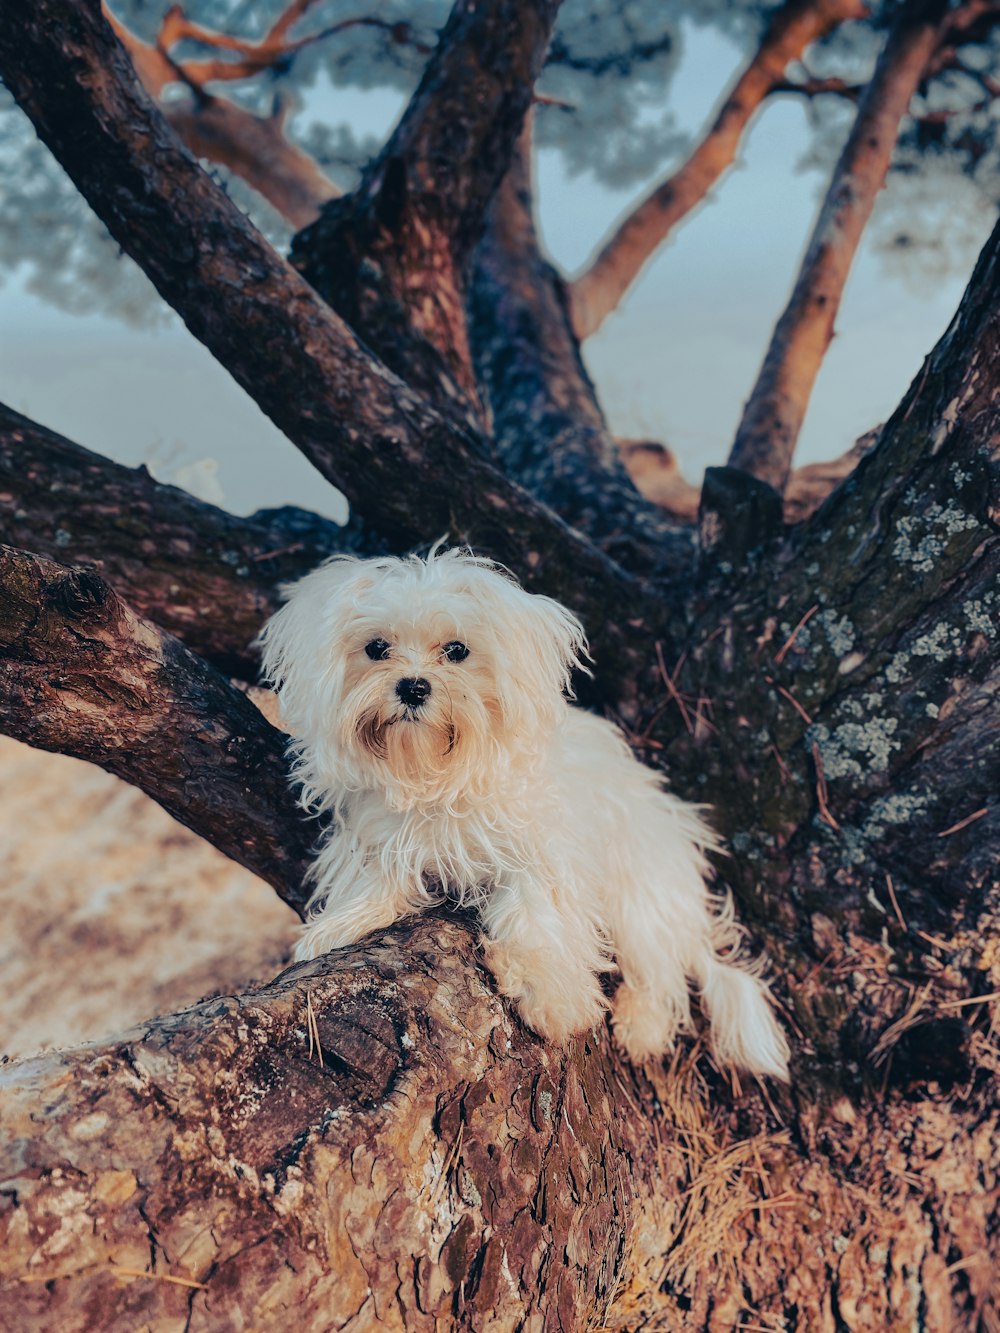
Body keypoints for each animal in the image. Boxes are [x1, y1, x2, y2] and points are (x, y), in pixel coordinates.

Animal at [262, 546, 794, 1077]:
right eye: (376, 648)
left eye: (457, 650)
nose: (413, 687)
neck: (437, 774)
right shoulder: (383, 836)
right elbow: (375, 880)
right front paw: (338, 928)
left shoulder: (543, 852)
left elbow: (537, 917)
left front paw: (553, 999)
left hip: (641, 893)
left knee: (659, 973)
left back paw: (641, 1027)